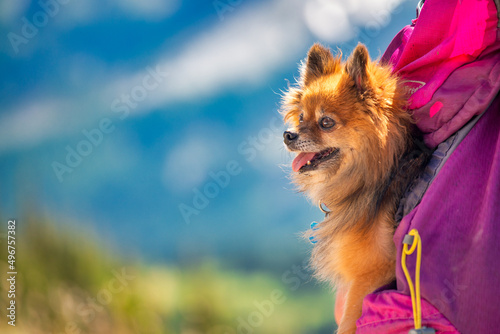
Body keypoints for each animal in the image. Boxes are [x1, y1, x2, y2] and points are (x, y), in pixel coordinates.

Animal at [282, 43, 430, 332]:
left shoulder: (365, 280)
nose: (288, 135)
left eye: (326, 122)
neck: (378, 178)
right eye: (301, 117)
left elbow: (349, 322)